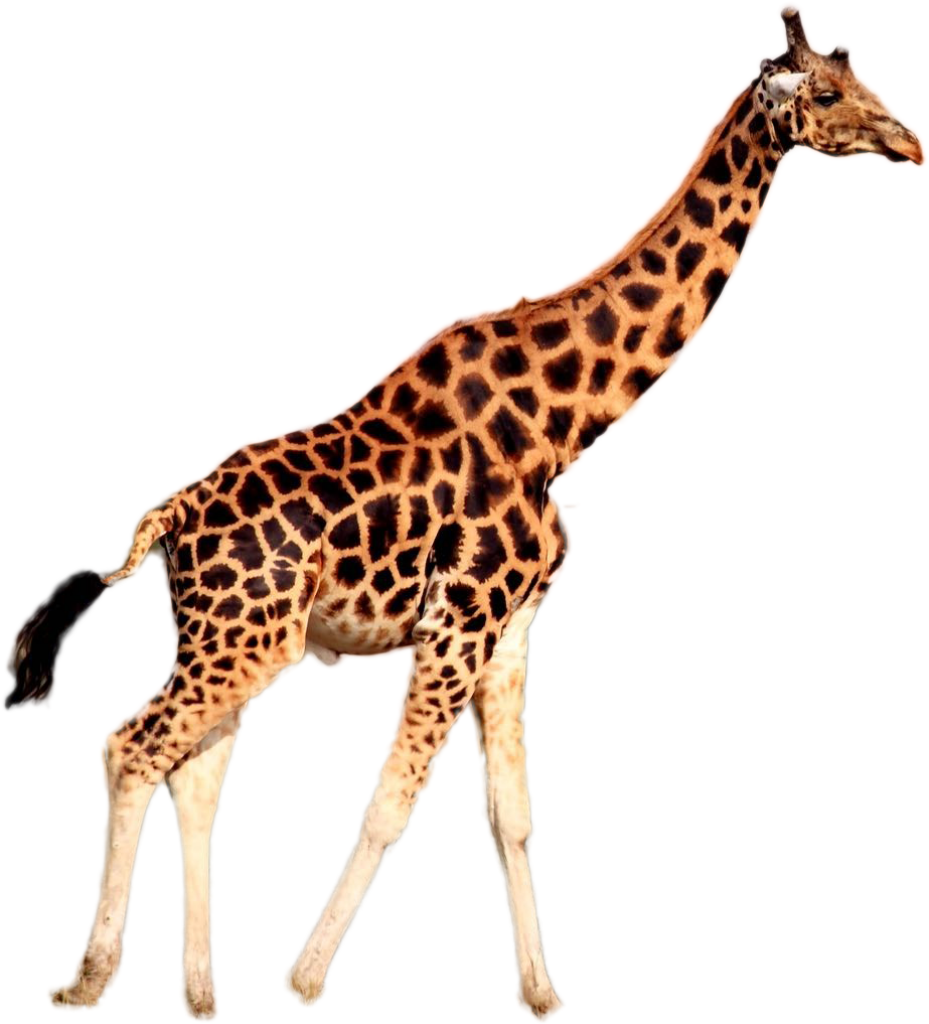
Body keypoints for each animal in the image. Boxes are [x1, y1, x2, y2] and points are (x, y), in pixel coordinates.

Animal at [3, 5, 924, 1022]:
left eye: (866, 81)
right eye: (830, 93)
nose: (912, 144)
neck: (570, 422)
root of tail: (163, 519)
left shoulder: (513, 622)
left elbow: (509, 814)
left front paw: (541, 995)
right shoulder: (459, 617)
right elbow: (393, 800)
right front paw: (306, 977)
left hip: (234, 640)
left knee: (196, 774)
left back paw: (200, 994)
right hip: (242, 642)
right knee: (130, 746)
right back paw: (86, 981)